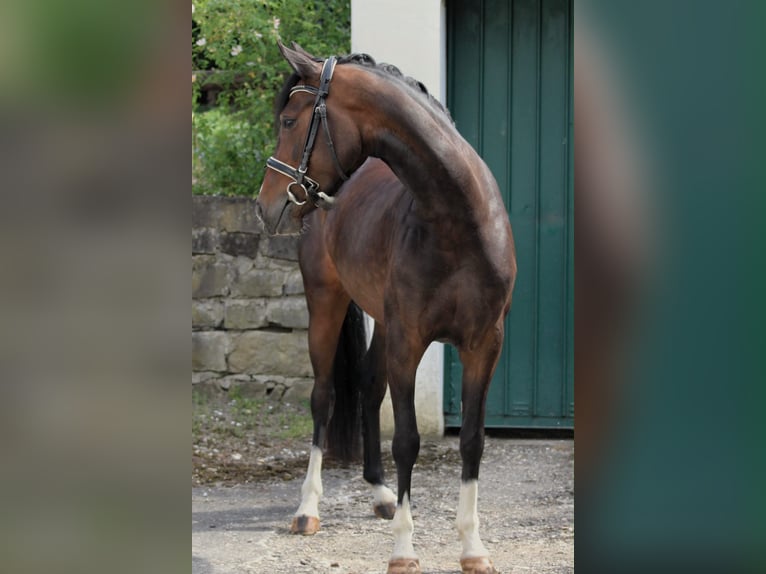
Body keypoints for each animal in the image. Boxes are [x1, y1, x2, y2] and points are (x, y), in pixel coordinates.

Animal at [255, 41, 517, 574]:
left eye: (290, 120)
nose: (265, 205)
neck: (459, 222)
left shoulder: (484, 345)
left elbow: (473, 440)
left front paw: (472, 547)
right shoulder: (409, 340)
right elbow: (408, 441)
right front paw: (403, 550)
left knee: (369, 385)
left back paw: (380, 495)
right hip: (327, 303)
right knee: (325, 396)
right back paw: (307, 509)